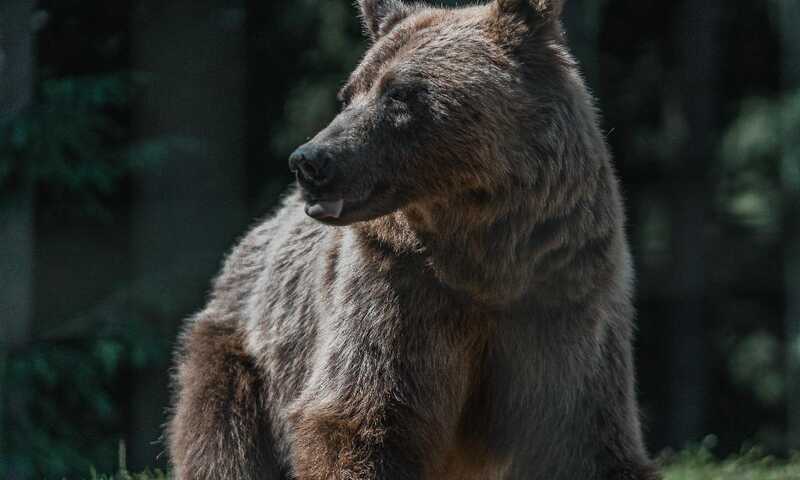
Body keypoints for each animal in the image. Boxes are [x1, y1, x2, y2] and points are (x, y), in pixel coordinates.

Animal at [166, 0, 660, 478]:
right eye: (349, 93)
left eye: (400, 93)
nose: (310, 161)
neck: (487, 259)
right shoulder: (397, 292)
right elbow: (365, 416)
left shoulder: (563, 296)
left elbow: (583, 439)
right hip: (245, 354)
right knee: (225, 440)